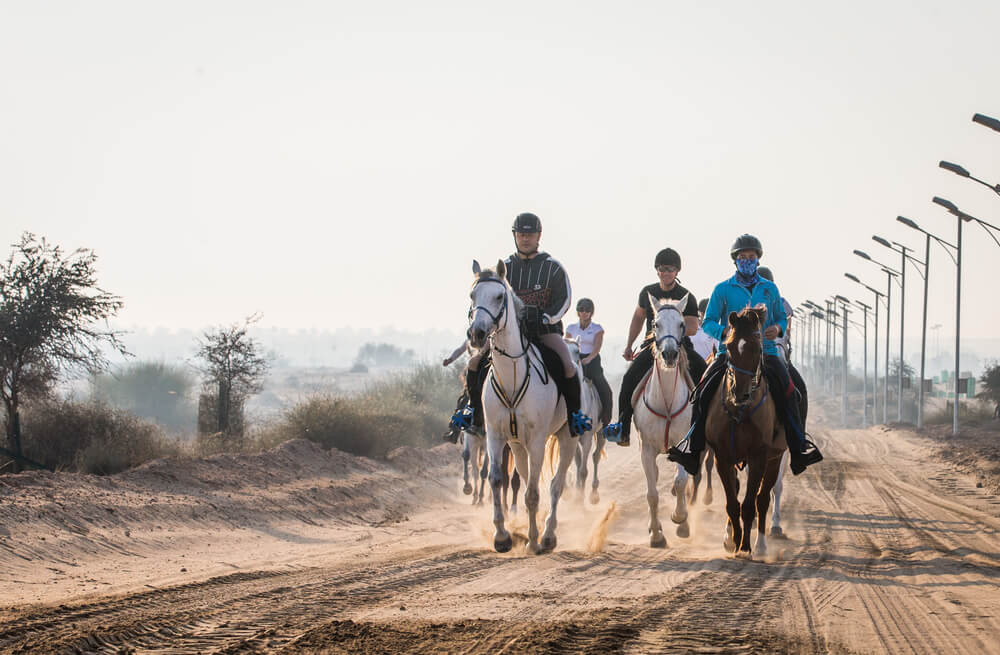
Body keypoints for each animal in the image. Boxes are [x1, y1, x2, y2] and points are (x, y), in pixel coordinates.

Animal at [468, 260, 580, 552]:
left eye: (499, 296)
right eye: (472, 295)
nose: (476, 334)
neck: (512, 375)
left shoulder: (538, 440)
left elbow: (532, 493)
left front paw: (533, 541)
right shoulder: (495, 436)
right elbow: (496, 480)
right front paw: (502, 537)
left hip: (567, 438)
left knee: (555, 485)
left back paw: (547, 535)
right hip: (517, 446)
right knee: (524, 475)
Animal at [632, 294, 696, 544]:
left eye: (682, 324)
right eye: (655, 324)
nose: (669, 354)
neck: (667, 402)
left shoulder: (685, 445)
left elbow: (680, 483)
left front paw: (680, 520)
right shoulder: (647, 449)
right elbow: (652, 493)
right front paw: (656, 534)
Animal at [708, 306, 784, 560]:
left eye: (758, 348)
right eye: (730, 347)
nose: (739, 393)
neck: (740, 411)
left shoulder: (759, 456)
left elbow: (750, 504)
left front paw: (745, 547)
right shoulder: (722, 457)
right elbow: (732, 504)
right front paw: (733, 541)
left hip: (775, 458)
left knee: (763, 499)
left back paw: (761, 545)